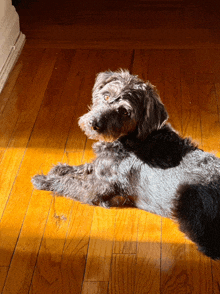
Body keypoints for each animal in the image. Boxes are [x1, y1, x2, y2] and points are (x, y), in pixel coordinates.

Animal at [31, 69, 220, 260]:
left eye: (124, 112)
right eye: (106, 96)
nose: (94, 124)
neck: (130, 140)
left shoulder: (95, 190)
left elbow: (69, 183)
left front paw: (43, 180)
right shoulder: (101, 168)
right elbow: (86, 167)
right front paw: (61, 169)